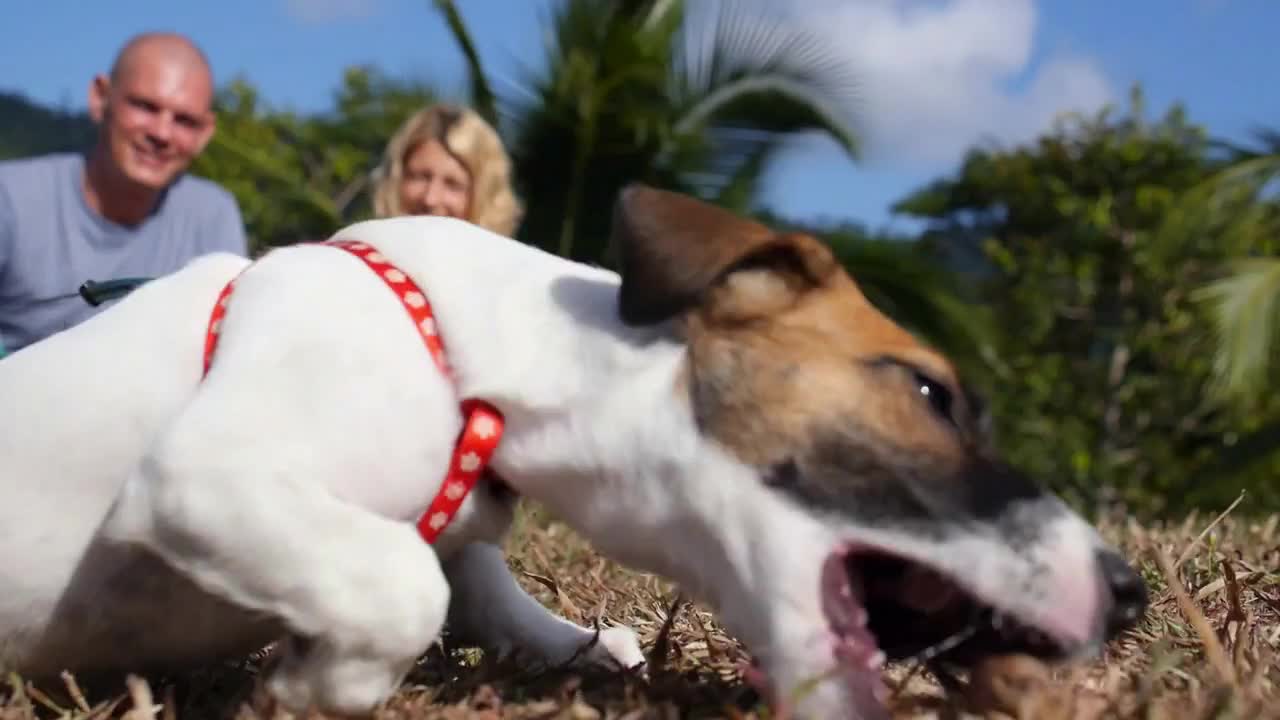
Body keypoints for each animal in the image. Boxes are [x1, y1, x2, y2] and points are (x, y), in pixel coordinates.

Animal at [0, 185, 1152, 717]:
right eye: (929, 394)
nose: (1129, 592)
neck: (485, 362)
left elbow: (475, 584)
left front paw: (586, 645)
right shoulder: (202, 473)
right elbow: (405, 580)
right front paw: (309, 690)